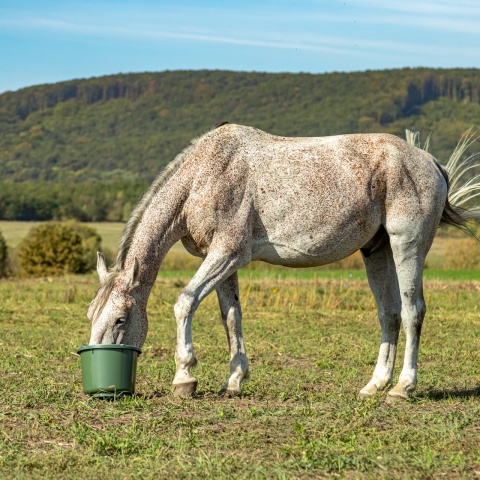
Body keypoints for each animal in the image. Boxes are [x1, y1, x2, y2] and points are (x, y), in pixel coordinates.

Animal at [87, 122, 480, 400]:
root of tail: (429, 161)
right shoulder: (224, 262)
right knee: (390, 314)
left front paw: (184, 376)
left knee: (413, 312)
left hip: (406, 245)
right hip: (377, 251)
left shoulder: (226, 254)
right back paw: (374, 386)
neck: (205, 175)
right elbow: (231, 317)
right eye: (92, 316)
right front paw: (234, 380)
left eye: (121, 319)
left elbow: (185, 302)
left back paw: (402, 388)